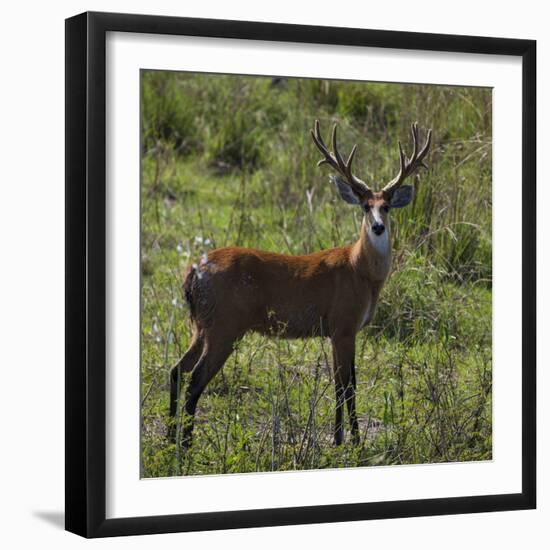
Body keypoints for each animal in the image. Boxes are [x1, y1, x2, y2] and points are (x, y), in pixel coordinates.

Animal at [168, 119, 432, 448]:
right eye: (364, 205)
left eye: (386, 206)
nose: (378, 227)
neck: (360, 271)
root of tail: (194, 272)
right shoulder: (343, 324)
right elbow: (347, 386)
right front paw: (349, 441)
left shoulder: (338, 329)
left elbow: (345, 384)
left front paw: (343, 438)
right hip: (225, 326)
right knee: (194, 379)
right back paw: (186, 444)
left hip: (201, 325)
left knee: (176, 370)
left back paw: (169, 438)